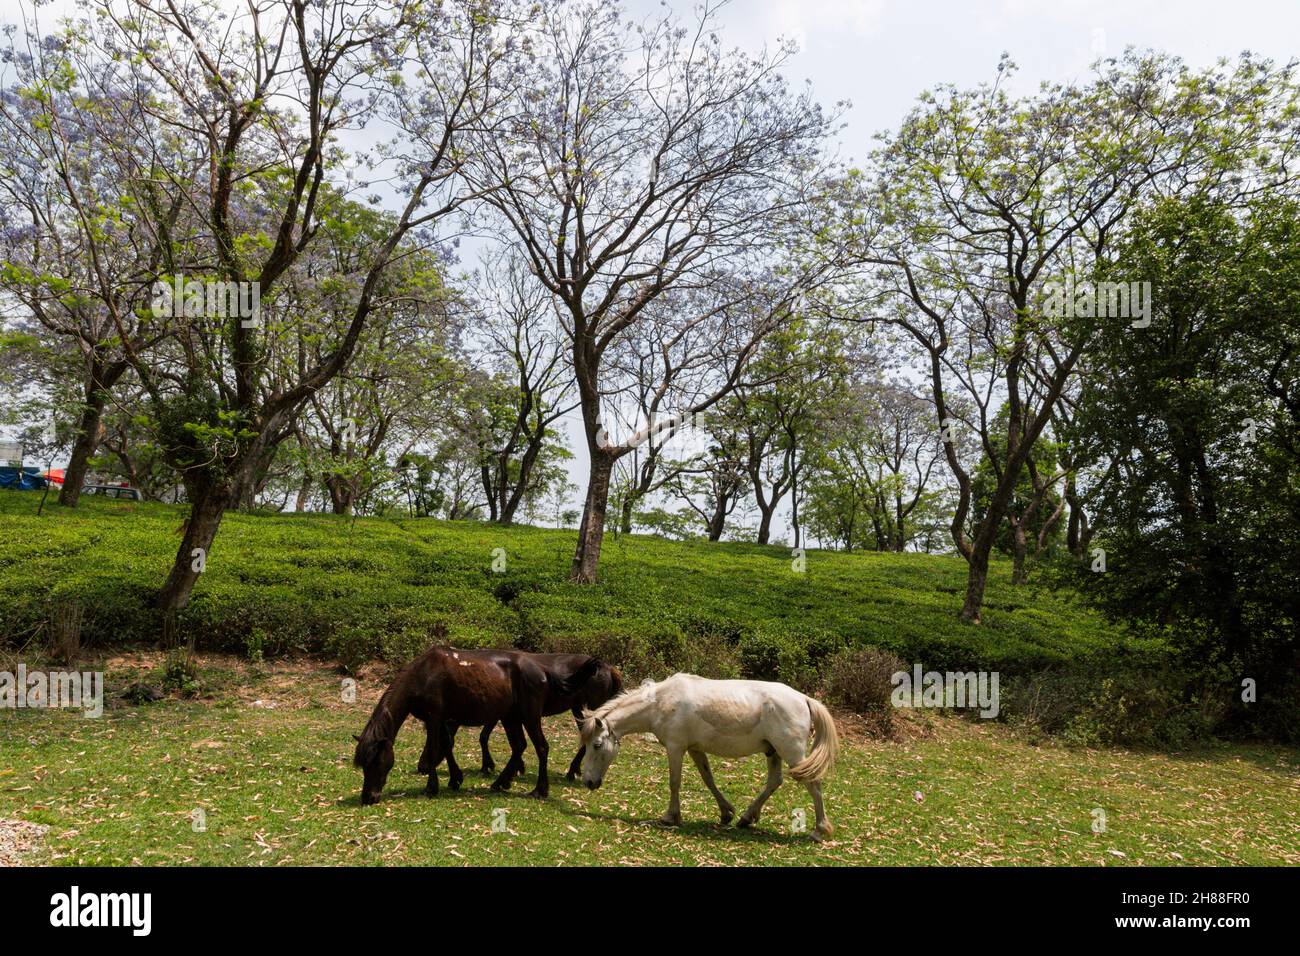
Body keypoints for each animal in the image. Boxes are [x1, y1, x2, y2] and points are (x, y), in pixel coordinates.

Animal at [352, 645, 599, 804]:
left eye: (376, 761)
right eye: (363, 764)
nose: (368, 798)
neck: (423, 675)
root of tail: (542, 670)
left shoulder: (434, 718)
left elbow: (434, 749)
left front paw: (432, 787)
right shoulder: (444, 720)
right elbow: (447, 746)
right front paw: (455, 779)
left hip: (529, 716)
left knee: (541, 747)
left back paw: (540, 790)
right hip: (510, 718)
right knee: (519, 746)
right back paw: (500, 783)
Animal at [419, 654, 623, 782]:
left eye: (433, 739)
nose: (421, 767)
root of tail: (609, 668)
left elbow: (486, 737)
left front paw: (492, 766)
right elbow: (494, 738)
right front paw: (511, 766)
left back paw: (572, 770)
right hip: (578, 708)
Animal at [578, 673, 839, 840]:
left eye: (597, 745)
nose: (589, 781)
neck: (659, 702)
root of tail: (804, 699)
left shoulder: (676, 748)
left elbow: (674, 782)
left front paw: (670, 816)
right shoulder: (695, 749)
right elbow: (708, 779)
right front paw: (726, 813)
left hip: (792, 753)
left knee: (813, 784)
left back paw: (819, 830)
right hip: (772, 752)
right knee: (774, 782)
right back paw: (746, 818)